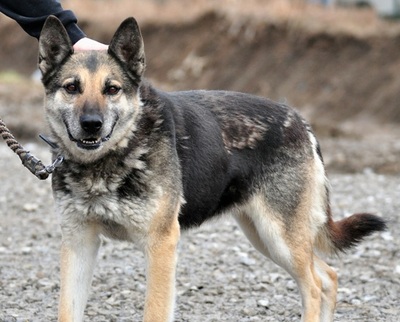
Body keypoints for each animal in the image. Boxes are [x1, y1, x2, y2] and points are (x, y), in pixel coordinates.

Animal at [39, 15, 386, 322]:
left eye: (111, 89)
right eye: (72, 87)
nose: (91, 125)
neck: (111, 157)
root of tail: (300, 120)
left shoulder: (161, 245)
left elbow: (155, 312)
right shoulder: (79, 244)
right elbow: (67, 311)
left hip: (279, 238)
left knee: (314, 286)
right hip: (263, 236)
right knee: (328, 276)